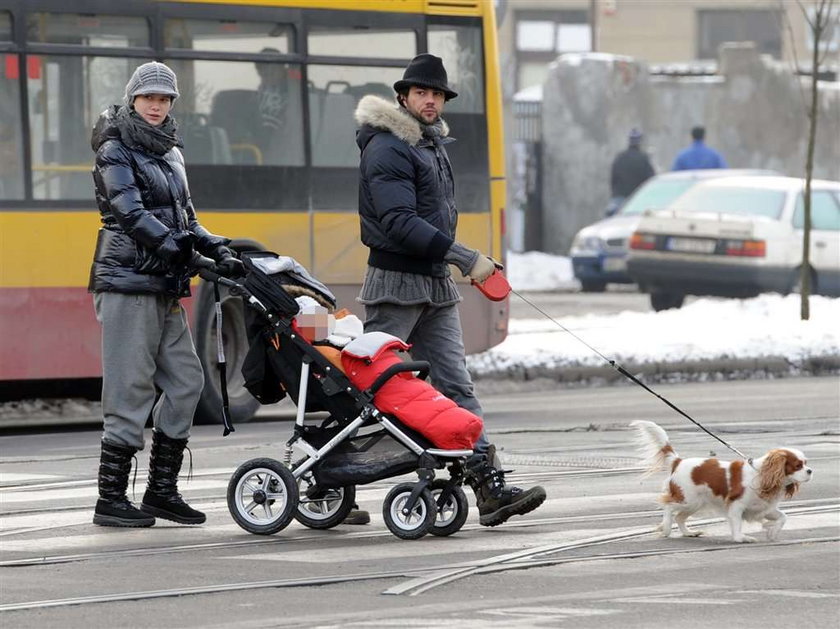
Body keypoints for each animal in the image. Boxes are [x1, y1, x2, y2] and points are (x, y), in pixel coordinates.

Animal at [632, 420, 812, 544]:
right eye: (798, 465)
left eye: (806, 463)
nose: (810, 471)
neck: (760, 475)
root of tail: (678, 461)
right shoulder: (736, 506)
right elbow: (737, 525)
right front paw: (742, 538)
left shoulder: (763, 507)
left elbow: (783, 517)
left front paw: (771, 531)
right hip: (687, 499)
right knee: (669, 507)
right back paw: (666, 529)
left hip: (695, 503)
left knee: (680, 517)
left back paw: (689, 532)